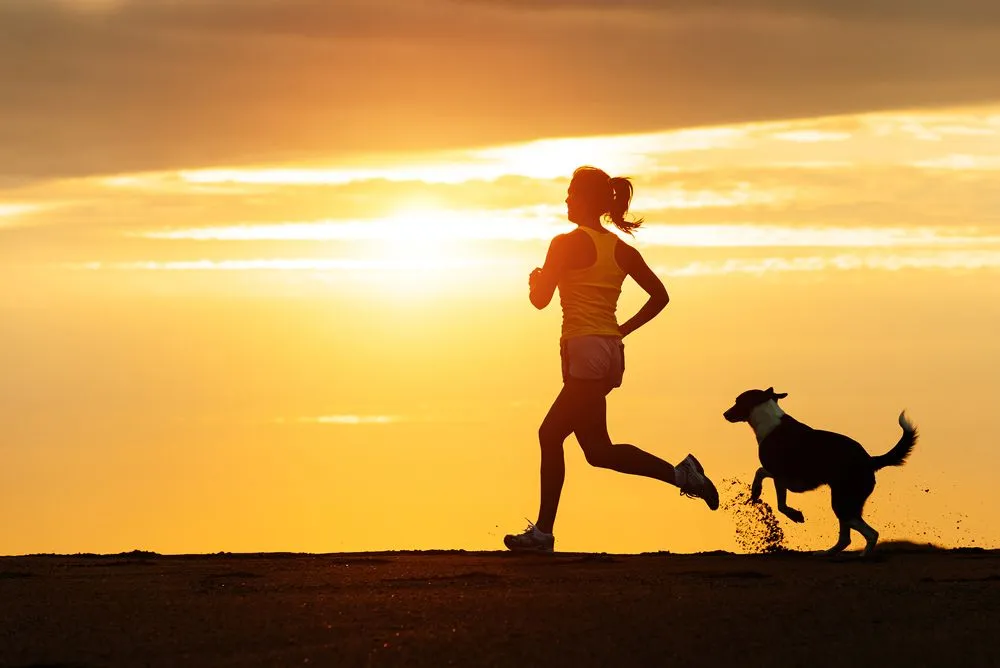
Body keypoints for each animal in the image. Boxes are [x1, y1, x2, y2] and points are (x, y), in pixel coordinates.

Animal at [724, 388, 916, 556]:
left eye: (737, 401)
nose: (724, 414)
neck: (768, 418)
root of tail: (870, 460)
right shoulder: (782, 477)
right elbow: (763, 476)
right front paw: (756, 492)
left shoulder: (781, 475)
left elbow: (778, 500)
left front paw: (794, 514)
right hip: (845, 502)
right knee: (846, 538)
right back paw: (827, 553)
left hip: (842, 502)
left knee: (871, 533)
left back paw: (862, 556)